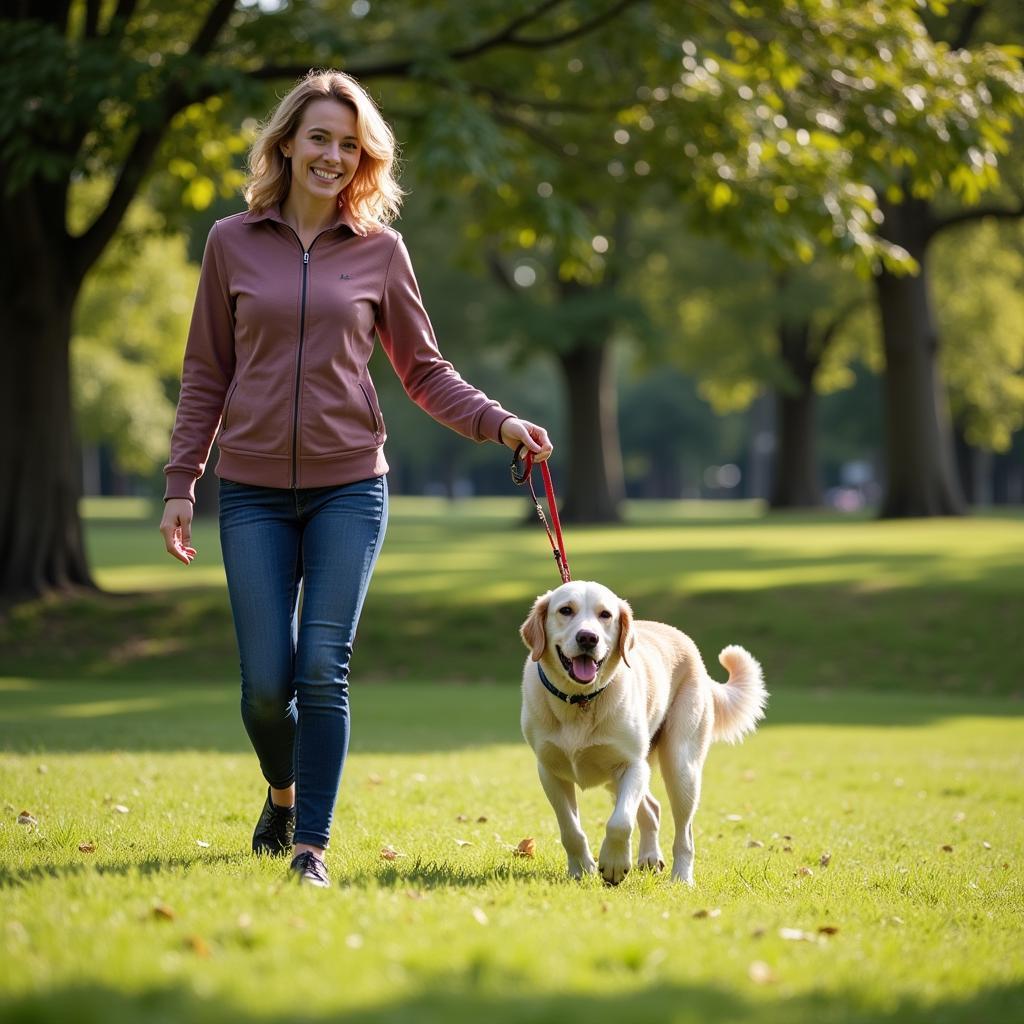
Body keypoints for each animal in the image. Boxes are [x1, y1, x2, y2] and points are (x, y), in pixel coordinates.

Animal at [524, 581, 765, 884]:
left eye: (605, 614)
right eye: (565, 610)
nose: (588, 638)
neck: (581, 701)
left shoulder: (633, 765)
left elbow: (619, 822)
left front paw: (614, 864)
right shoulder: (550, 771)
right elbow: (570, 829)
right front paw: (582, 868)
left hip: (680, 768)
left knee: (684, 834)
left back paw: (681, 878)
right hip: (615, 780)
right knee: (652, 808)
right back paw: (650, 858)